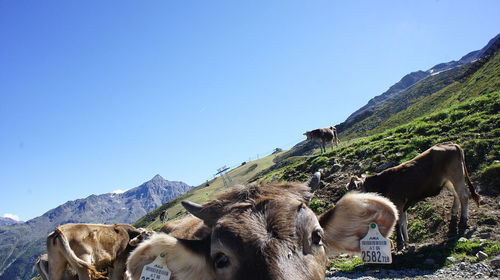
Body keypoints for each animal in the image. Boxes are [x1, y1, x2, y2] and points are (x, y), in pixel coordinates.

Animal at [348, 143, 480, 250]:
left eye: (354, 190)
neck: (383, 184)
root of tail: (451, 144)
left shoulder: (397, 204)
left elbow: (398, 223)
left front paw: (400, 244)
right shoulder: (402, 206)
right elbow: (403, 222)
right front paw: (406, 242)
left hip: (456, 175)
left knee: (464, 195)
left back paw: (463, 220)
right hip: (448, 180)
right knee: (457, 194)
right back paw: (454, 213)